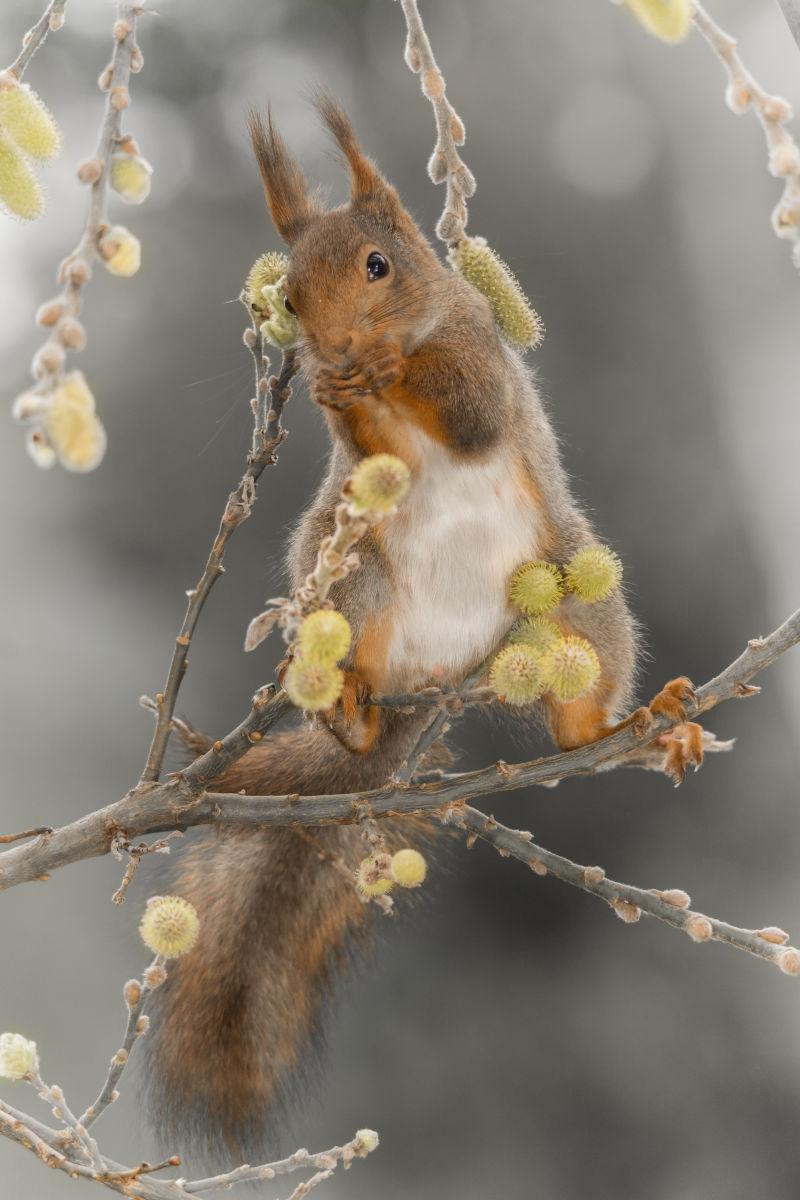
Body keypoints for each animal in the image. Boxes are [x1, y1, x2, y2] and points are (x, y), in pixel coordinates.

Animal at [145, 93, 705, 1161]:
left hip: (579, 603)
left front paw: (384, 366)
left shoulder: (484, 364)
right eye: (288, 297)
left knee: (577, 716)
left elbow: (467, 407)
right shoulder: (363, 466)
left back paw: (632, 725)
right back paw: (350, 712)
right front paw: (344, 385)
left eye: (377, 266)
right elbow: (373, 453)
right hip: (352, 578)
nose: (328, 347)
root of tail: (440, 678)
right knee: (356, 661)